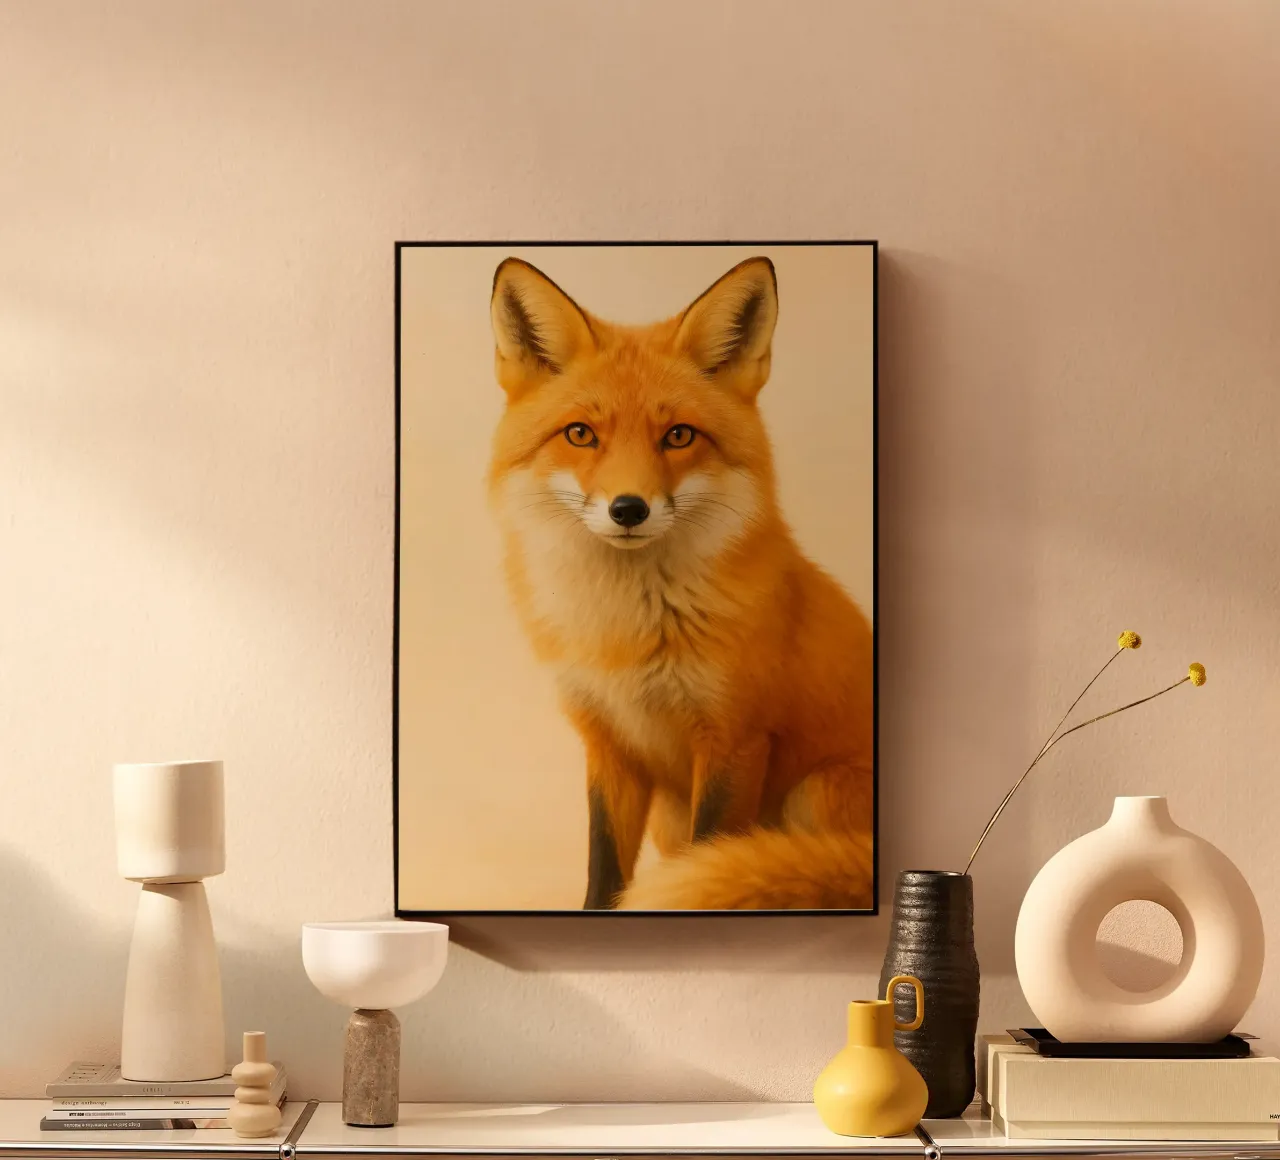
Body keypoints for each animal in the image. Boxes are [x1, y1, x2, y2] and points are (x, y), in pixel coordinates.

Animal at [485, 254, 875, 911]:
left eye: (679, 436)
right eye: (581, 434)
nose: (628, 509)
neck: (626, 630)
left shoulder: (734, 740)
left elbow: (711, 854)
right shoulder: (608, 745)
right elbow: (604, 869)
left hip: (815, 793)